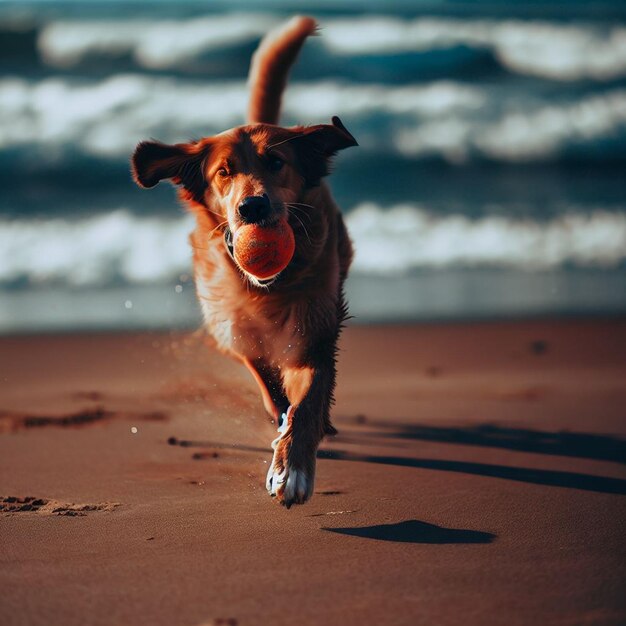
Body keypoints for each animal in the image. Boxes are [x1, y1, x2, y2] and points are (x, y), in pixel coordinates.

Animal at [130, 15, 356, 508]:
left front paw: (292, 467)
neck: (267, 290)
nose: (252, 207)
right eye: (223, 172)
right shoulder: (234, 332)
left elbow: (307, 402)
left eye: (277, 162)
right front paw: (281, 426)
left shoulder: (314, 333)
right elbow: (270, 387)